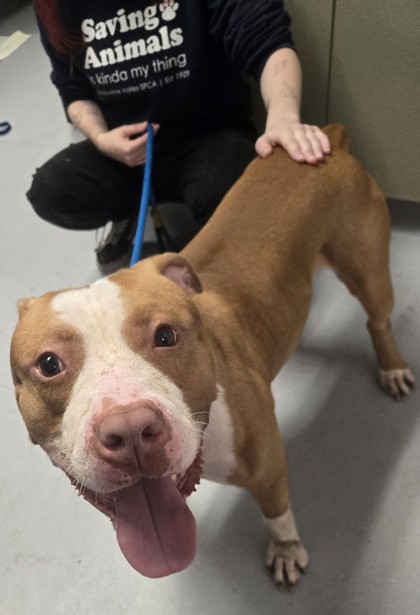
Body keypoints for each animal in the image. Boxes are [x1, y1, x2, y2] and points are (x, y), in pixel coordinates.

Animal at [10, 125, 414, 586]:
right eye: (48, 364)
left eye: (166, 335)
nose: (130, 431)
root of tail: (330, 138)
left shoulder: (269, 466)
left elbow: (277, 513)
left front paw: (286, 550)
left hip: (368, 270)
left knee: (378, 320)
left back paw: (392, 368)